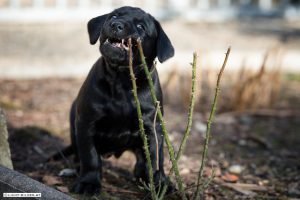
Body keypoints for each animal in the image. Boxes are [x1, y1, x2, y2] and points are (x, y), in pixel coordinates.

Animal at [65, 6, 175, 195]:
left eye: (140, 26)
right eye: (114, 16)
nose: (116, 25)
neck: (122, 80)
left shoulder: (152, 127)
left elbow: (155, 158)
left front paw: (159, 183)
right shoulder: (86, 122)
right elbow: (90, 157)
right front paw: (88, 183)